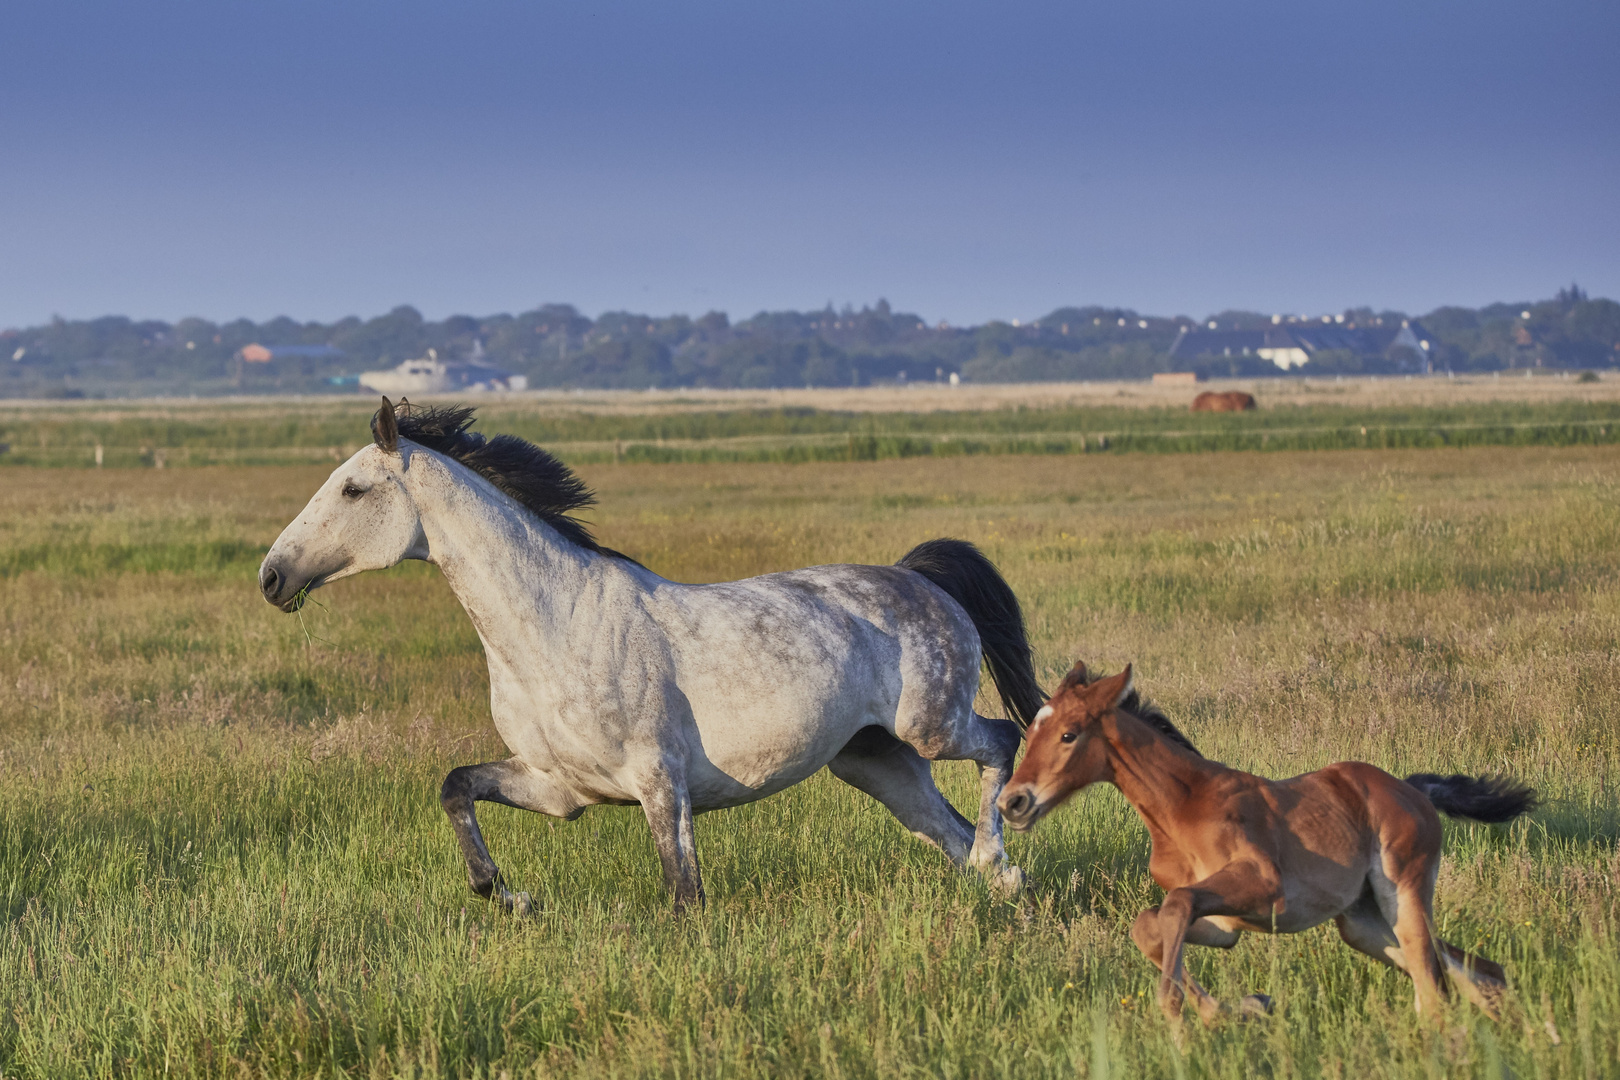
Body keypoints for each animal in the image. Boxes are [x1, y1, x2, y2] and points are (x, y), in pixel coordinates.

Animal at [991, 663, 1535, 1029]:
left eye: (1069, 734)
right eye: (1031, 729)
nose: (1012, 802)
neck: (1180, 811)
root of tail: (1413, 790)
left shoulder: (1264, 889)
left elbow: (1175, 905)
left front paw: (1185, 1011)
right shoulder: (1226, 924)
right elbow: (1151, 924)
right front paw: (1242, 1008)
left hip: (1403, 892)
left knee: (1435, 984)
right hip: (1363, 924)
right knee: (1475, 973)